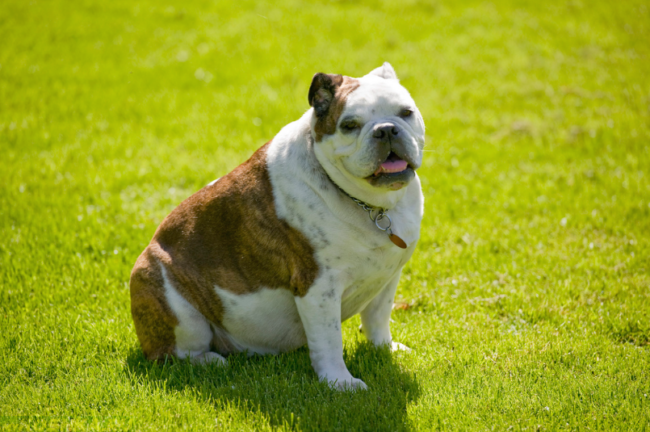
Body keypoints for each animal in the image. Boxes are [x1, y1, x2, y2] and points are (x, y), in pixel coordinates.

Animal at [130, 62, 426, 390]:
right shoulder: (318, 288)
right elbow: (329, 341)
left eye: (406, 112)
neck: (374, 206)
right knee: (173, 353)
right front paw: (339, 383)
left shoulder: (388, 276)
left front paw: (384, 348)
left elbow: (378, 317)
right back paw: (209, 361)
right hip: (174, 305)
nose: (386, 129)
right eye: (349, 125)